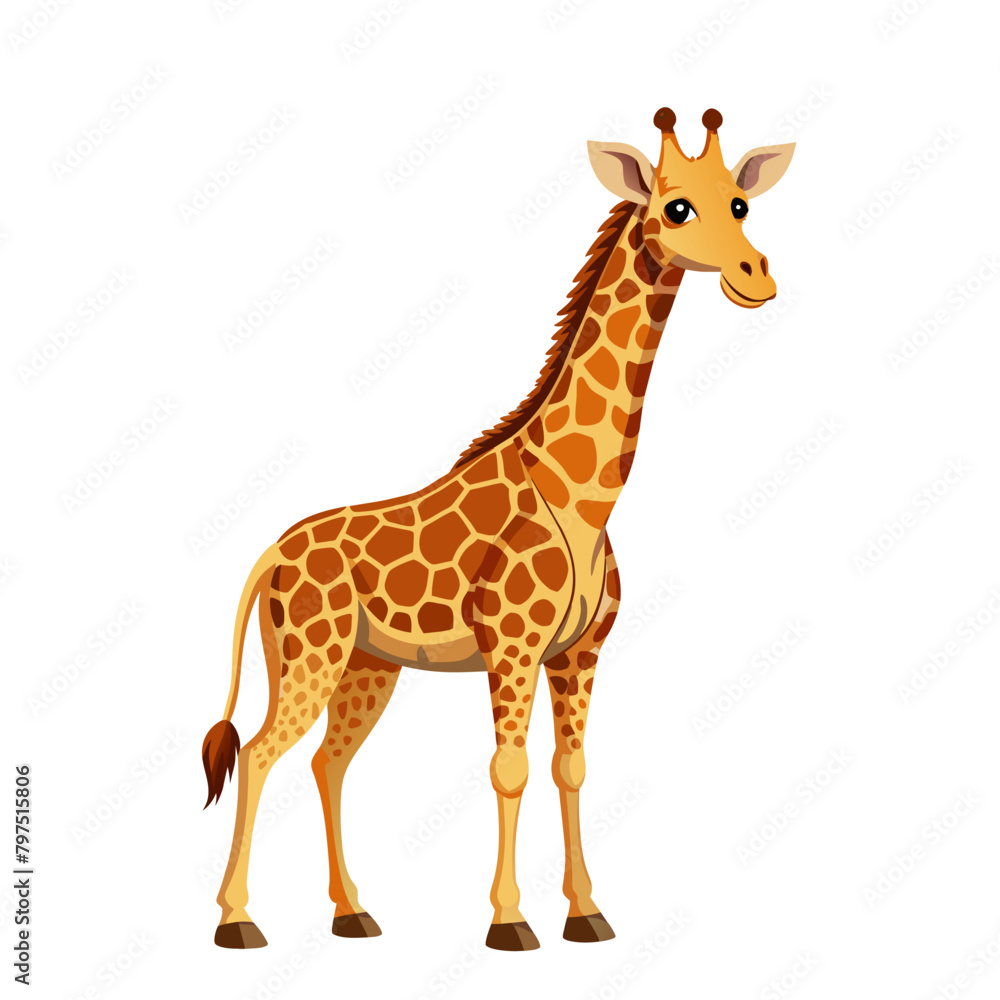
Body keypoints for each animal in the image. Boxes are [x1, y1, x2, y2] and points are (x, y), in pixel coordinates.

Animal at [203, 107, 794, 952]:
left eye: (740, 203)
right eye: (677, 207)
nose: (756, 276)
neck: (582, 494)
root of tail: (269, 556)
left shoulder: (577, 653)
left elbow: (570, 768)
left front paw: (586, 913)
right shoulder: (511, 644)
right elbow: (507, 768)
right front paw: (510, 922)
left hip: (365, 665)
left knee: (326, 763)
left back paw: (352, 913)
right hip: (312, 656)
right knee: (257, 756)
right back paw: (237, 920)